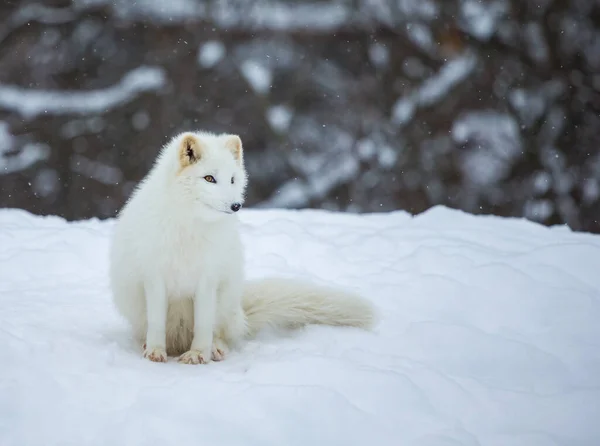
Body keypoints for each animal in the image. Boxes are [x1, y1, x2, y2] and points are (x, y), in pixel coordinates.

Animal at [108, 131, 376, 364]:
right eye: (209, 178)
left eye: (232, 179)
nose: (236, 205)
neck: (191, 228)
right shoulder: (154, 277)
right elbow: (156, 323)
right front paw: (155, 352)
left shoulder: (208, 280)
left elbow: (204, 325)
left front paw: (198, 354)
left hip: (225, 299)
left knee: (220, 332)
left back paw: (215, 349)